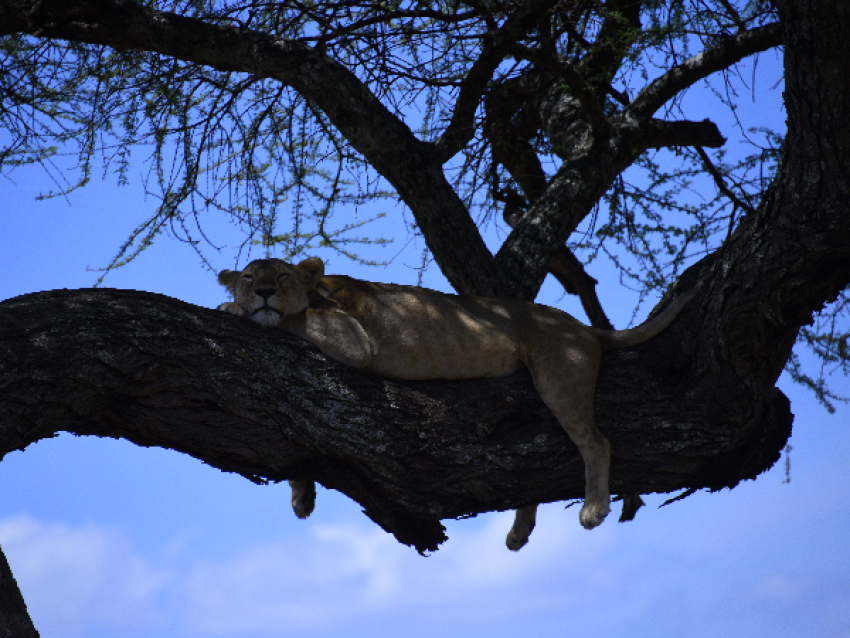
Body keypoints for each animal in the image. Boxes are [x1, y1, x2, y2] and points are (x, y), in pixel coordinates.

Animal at [217, 258, 688, 552]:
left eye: (281, 276)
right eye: (248, 277)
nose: (262, 292)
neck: (320, 289)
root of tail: (585, 328)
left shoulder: (354, 341)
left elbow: (292, 319)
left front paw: (231, 308)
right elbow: (301, 449)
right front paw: (302, 497)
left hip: (560, 377)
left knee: (596, 443)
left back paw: (593, 509)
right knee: (532, 477)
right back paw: (519, 532)